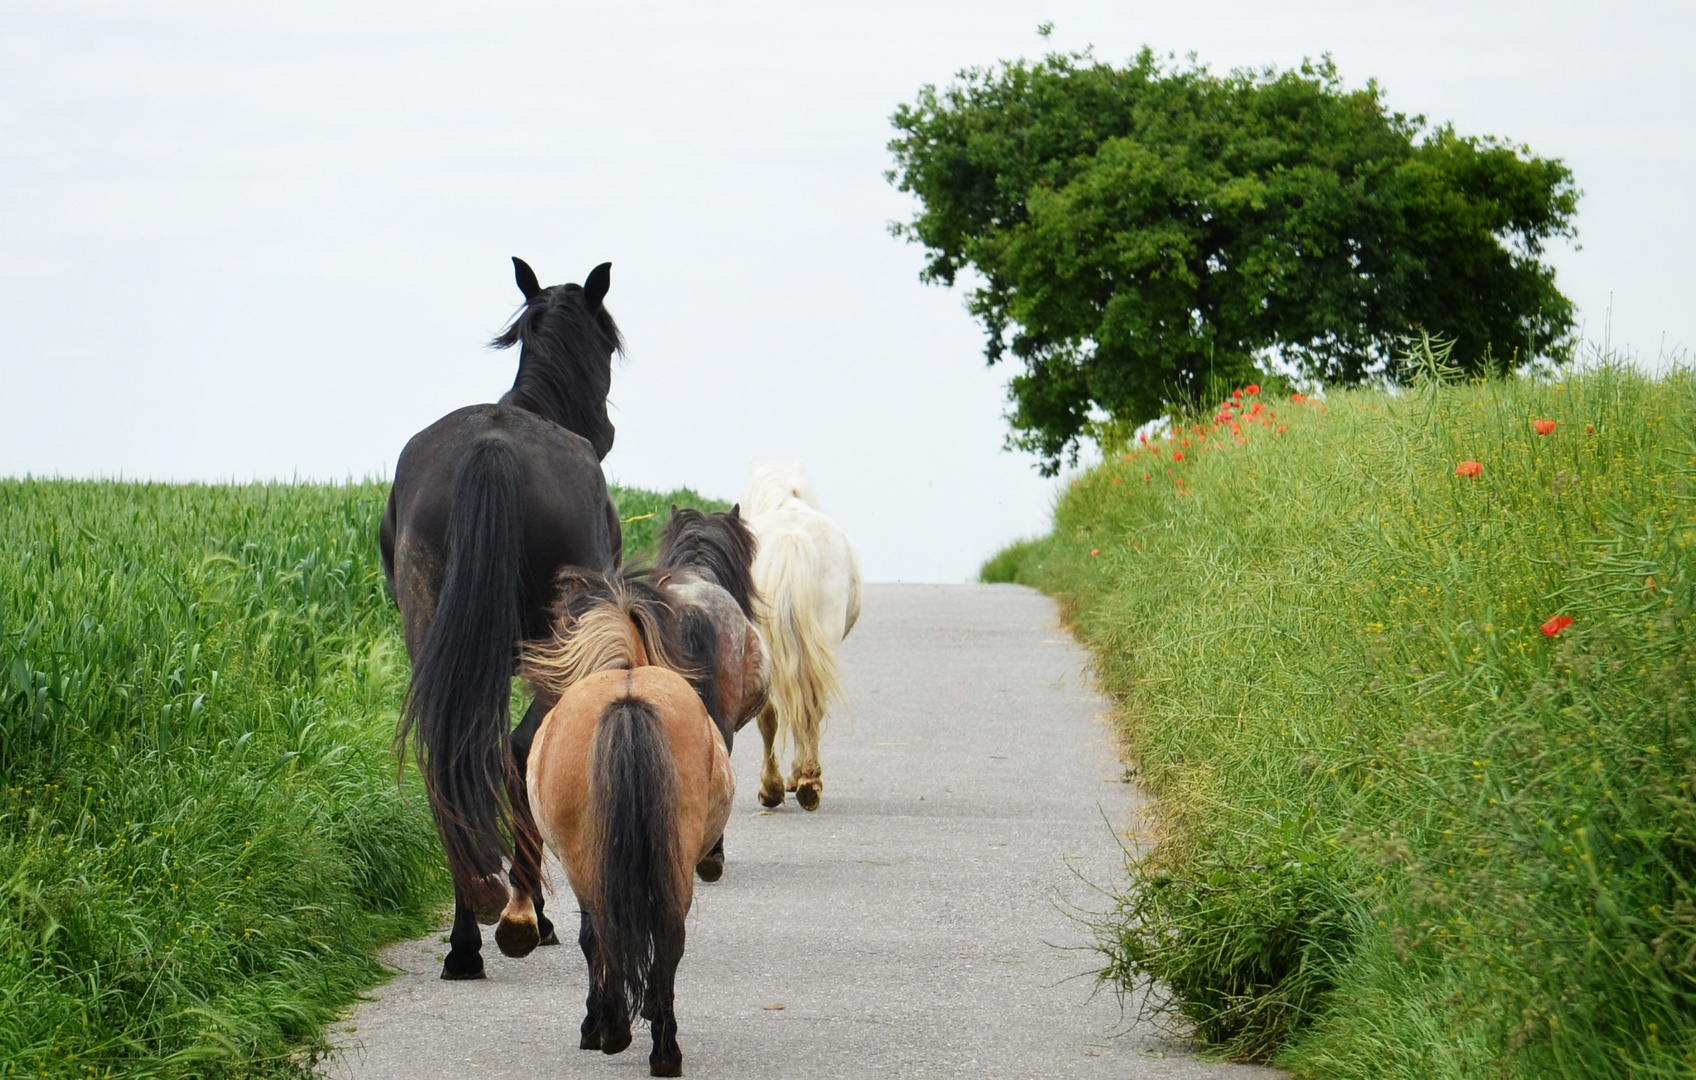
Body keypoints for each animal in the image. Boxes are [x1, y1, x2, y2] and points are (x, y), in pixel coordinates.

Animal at [378, 259, 624, 976]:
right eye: (609, 342)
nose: (607, 431)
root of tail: (493, 448)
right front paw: (537, 913)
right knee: (515, 747)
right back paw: (516, 914)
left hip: (433, 630)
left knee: (451, 755)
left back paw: (469, 933)